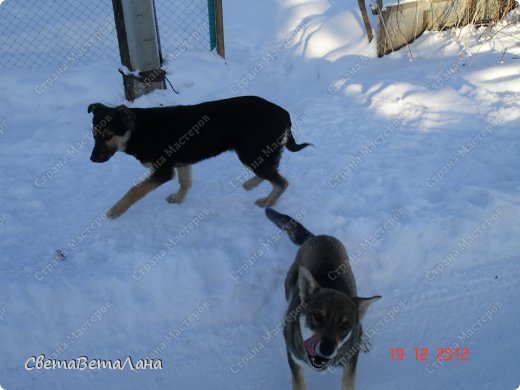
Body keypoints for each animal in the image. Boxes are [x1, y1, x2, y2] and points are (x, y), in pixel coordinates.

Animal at [88, 94, 310, 216]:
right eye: (93, 135)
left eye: (108, 136)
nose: (92, 160)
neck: (138, 130)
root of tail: (284, 114)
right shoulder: (182, 163)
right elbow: (185, 183)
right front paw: (178, 199)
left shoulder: (163, 171)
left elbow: (134, 190)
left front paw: (116, 210)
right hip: (257, 152)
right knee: (273, 170)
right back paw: (251, 185)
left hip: (249, 152)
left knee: (281, 181)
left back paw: (266, 201)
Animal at [266, 209, 380, 390]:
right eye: (318, 316)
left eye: (346, 325)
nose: (327, 349)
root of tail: (316, 236)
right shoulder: (294, 360)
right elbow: (299, 383)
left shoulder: (350, 361)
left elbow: (348, 381)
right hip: (289, 284)